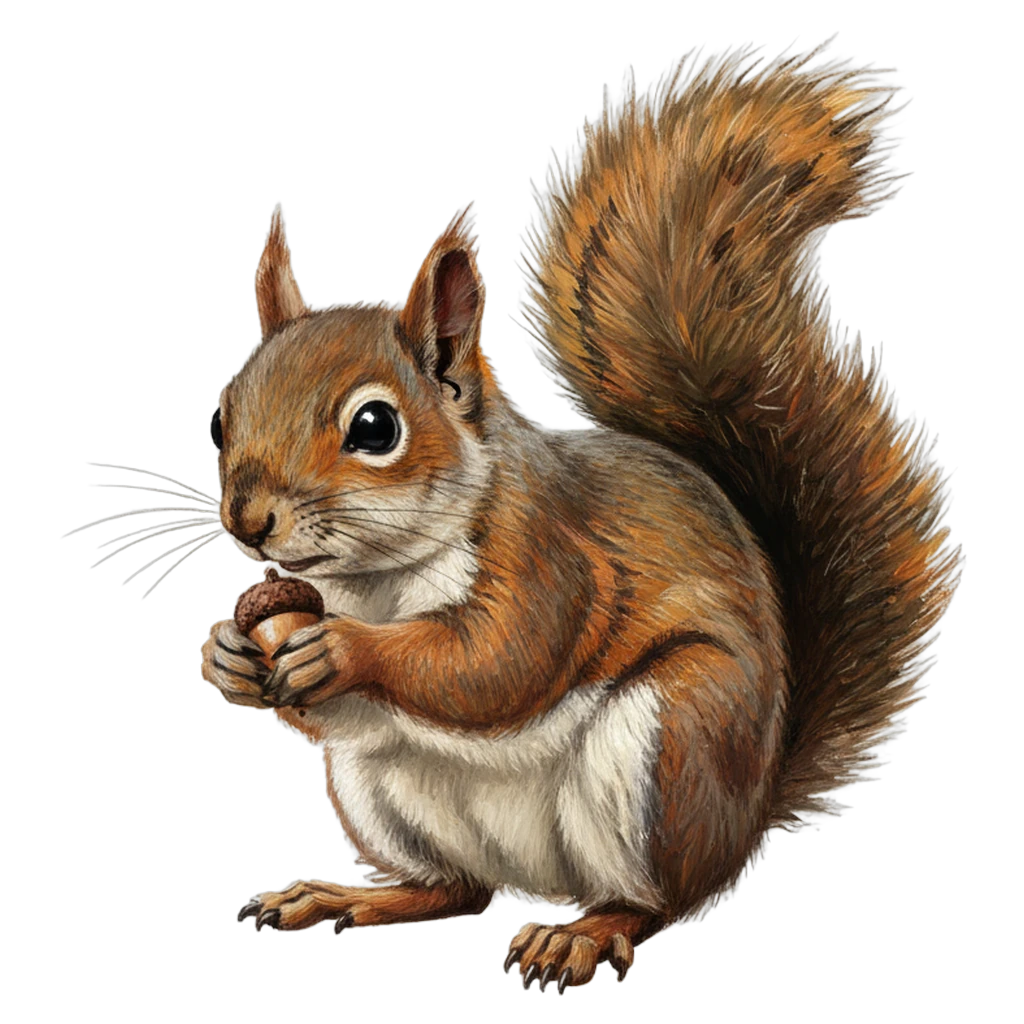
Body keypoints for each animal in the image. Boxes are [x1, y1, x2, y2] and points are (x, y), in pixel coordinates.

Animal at [204, 37, 963, 993]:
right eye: (223, 412)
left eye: (374, 428)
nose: (248, 522)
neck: (375, 578)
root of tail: (748, 812)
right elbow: (336, 709)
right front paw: (227, 655)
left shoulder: (550, 551)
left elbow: (499, 659)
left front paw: (348, 651)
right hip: (377, 791)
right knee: (454, 887)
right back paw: (348, 897)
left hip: (671, 741)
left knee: (656, 899)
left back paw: (584, 933)